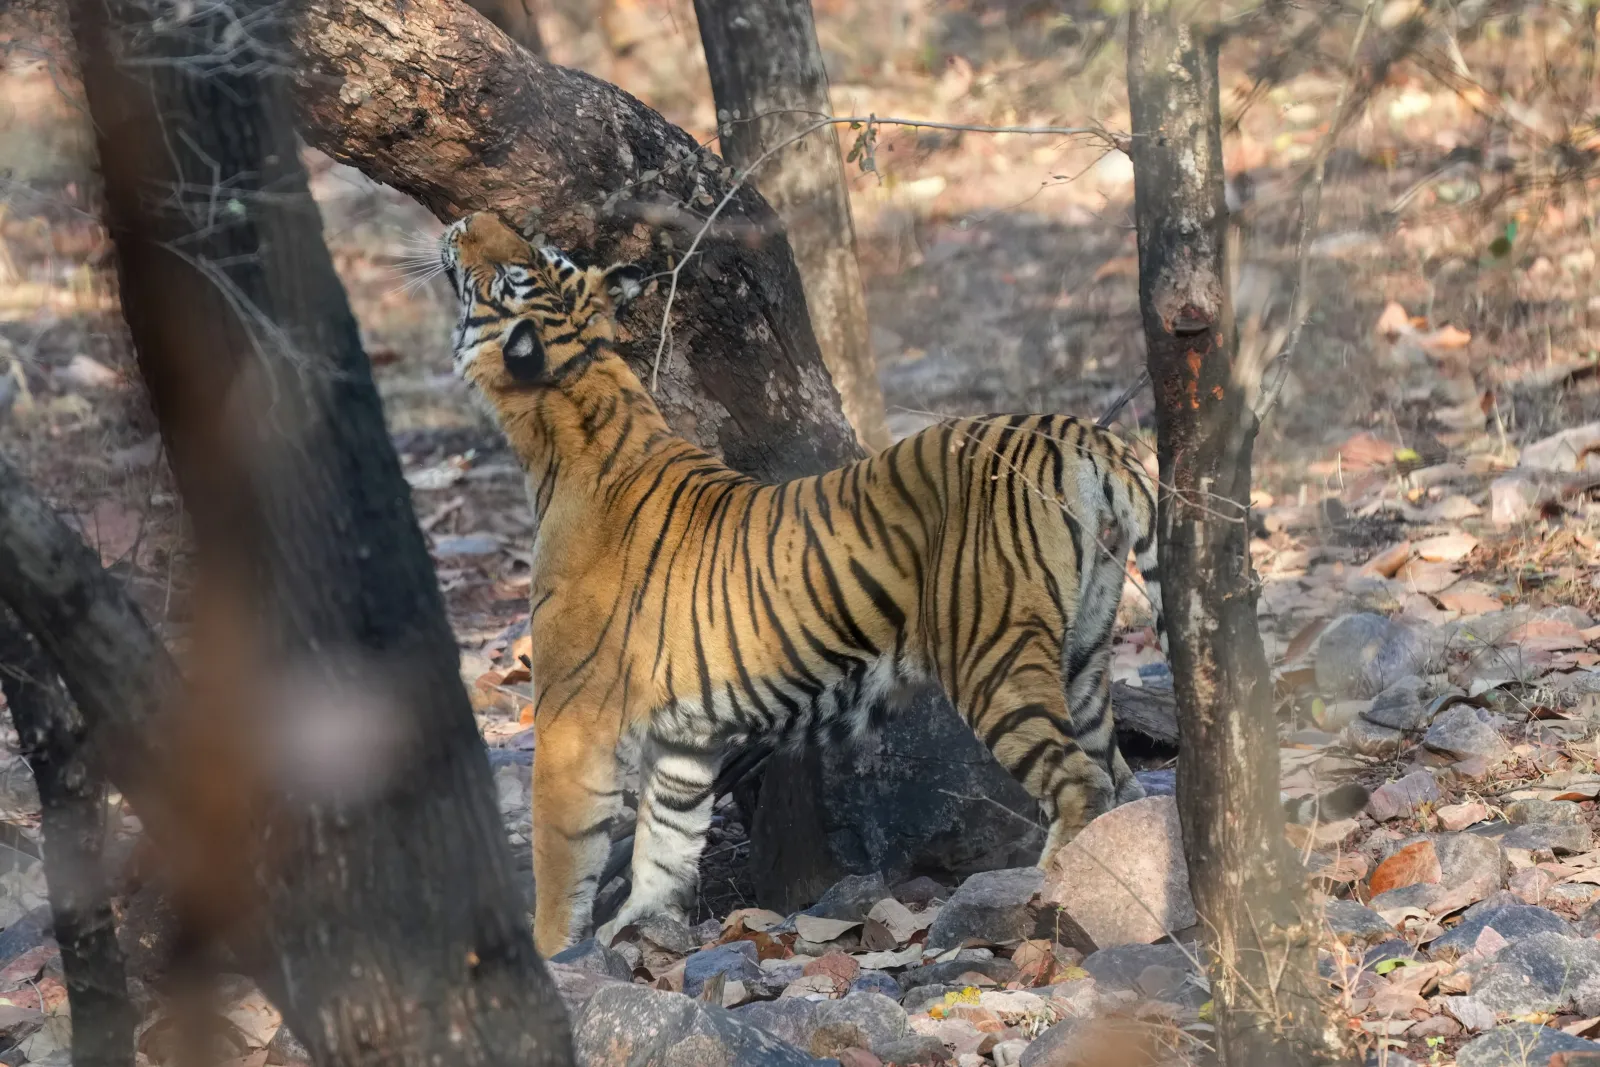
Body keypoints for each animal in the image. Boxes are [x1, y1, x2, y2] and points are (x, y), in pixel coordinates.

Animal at [438, 212, 1166, 957]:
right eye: (539, 253)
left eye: (514, 269)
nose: (465, 221)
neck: (583, 394)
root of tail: (1077, 431)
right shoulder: (684, 742)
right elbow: (665, 841)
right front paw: (644, 926)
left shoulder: (571, 718)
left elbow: (562, 853)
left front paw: (554, 951)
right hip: (1085, 650)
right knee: (1119, 776)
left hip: (992, 653)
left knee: (1079, 781)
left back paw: (1045, 890)